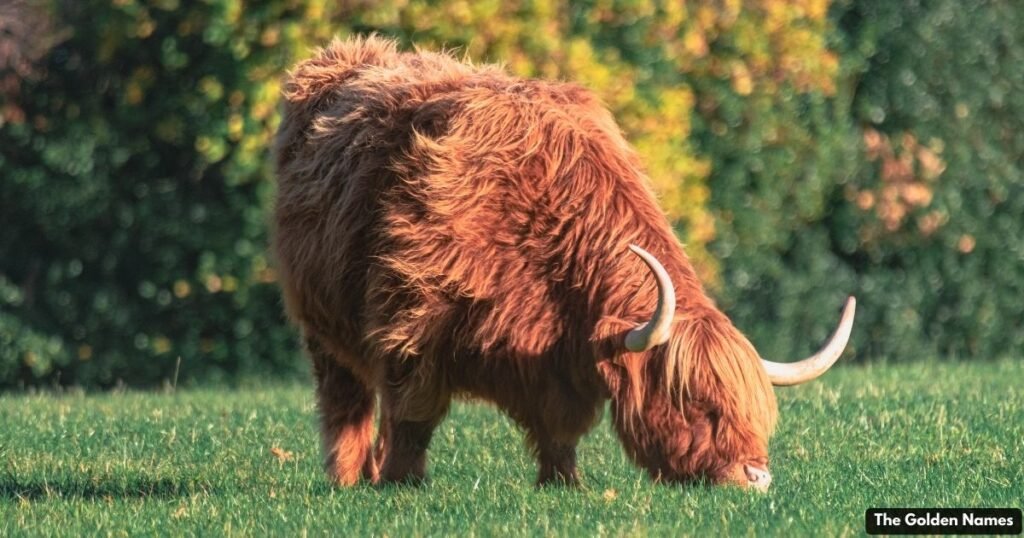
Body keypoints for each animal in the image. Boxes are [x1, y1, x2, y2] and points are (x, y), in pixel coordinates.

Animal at [273, 35, 856, 491]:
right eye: (697, 404)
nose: (756, 478)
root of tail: (346, 57)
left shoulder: (557, 359)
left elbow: (558, 431)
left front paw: (564, 484)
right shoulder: (412, 324)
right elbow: (413, 417)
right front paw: (403, 484)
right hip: (323, 329)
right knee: (347, 404)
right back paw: (352, 479)